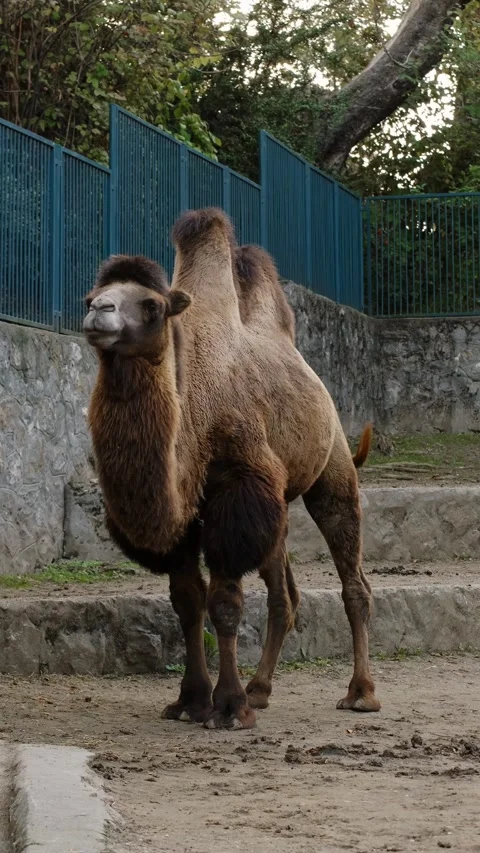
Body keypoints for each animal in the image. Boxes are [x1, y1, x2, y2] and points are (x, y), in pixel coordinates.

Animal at [83, 208, 380, 730]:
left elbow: (223, 603)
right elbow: (186, 602)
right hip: (278, 505)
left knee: (353, 580)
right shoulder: (184, 518)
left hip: (333, 470)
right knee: (286, 596)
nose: (98, 311)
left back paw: (360, 693)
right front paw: (190, 701)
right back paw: (261, 689)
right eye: (90, 296)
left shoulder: (236, 490)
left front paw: (227, 707)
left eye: (152, 306)